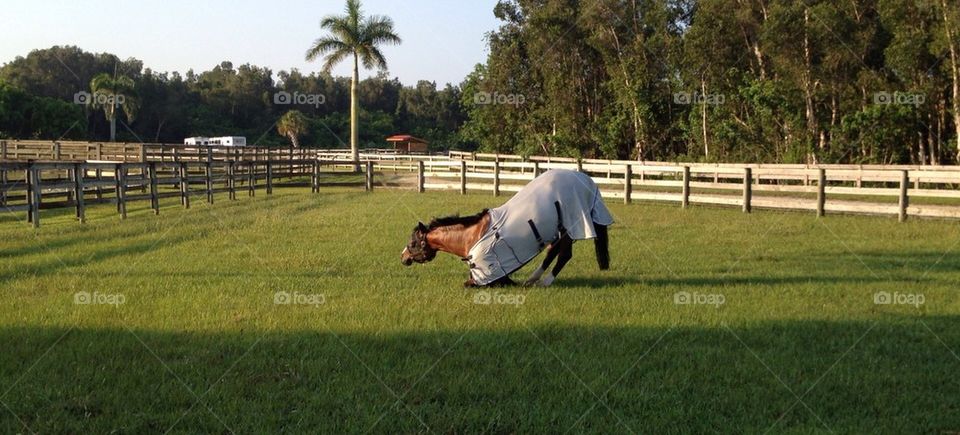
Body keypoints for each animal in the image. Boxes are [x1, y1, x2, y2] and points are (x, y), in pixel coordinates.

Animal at [400, 169, 612, 288]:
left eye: (412, 243)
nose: (403, 257)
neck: (473, 236)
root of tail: (588, 181)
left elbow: (471, 283)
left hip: (571, 225)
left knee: (564, 255)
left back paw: (545, 282)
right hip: (560, 228)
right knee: (552, 252)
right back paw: (532, 279)